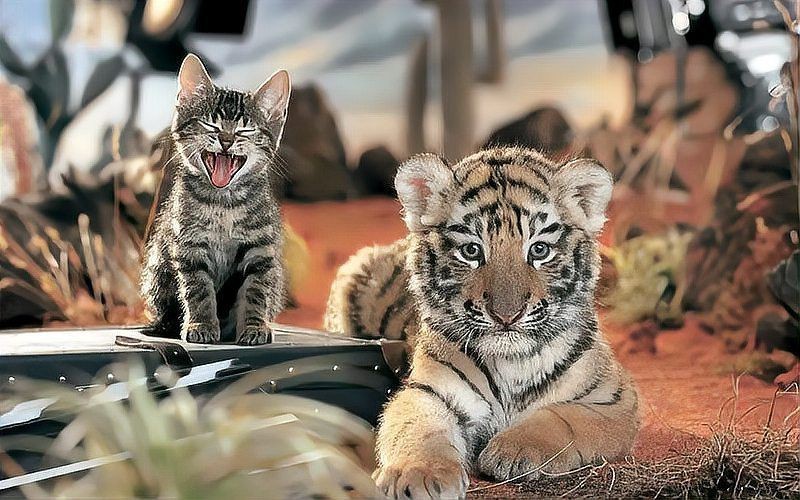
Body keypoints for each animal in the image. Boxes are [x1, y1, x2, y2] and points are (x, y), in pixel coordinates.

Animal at [324, 147, 639, 498]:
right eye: (472, 251)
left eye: (539, 250)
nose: (507, 315)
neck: (512, 364)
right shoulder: (427, 391)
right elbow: (419, 428)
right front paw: (420, 474)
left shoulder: (614, 401)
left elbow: (563, 417)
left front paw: (512, 450)